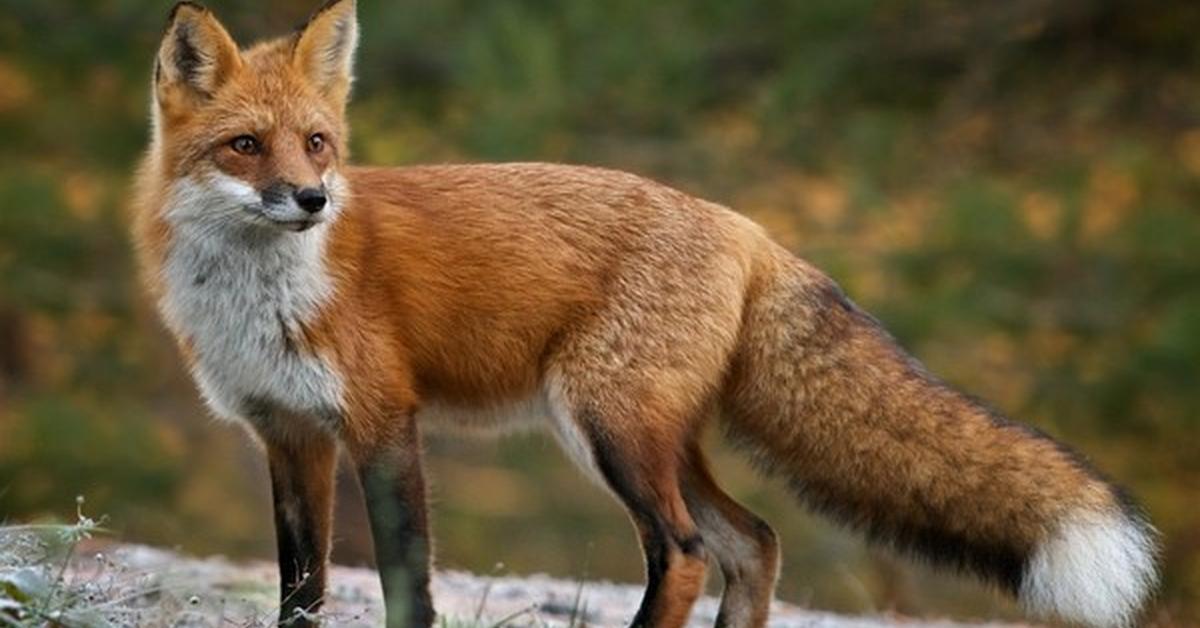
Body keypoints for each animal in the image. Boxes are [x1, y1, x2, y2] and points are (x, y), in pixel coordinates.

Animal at [136, 1, 1156, 628]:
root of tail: (747, 227)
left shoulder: (384, 421)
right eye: (245, 146)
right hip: (646, 437)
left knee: (689, 550)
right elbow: (299, 585)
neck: (259, 299)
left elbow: (403, 580)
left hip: (610, 430)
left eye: (317, 143)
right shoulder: (288, 434)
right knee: (755, 542)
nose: (312, 200)